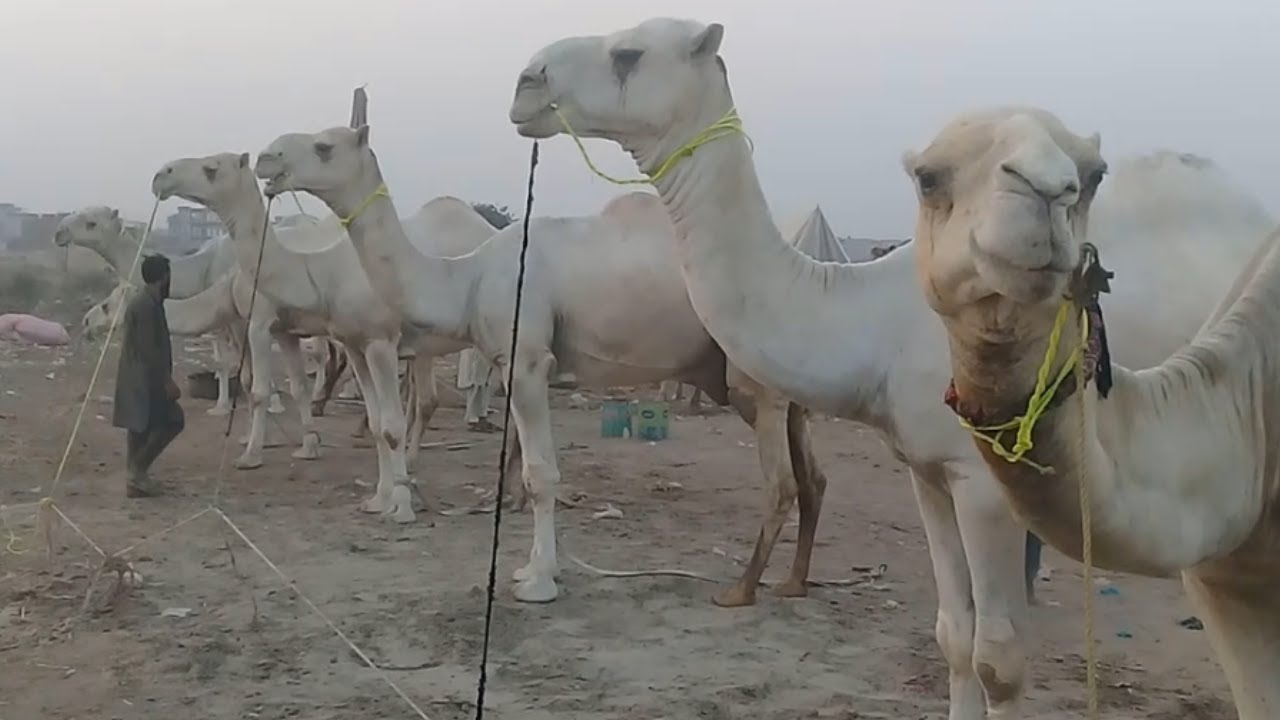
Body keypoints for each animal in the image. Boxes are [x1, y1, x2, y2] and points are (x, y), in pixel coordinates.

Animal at [254, 124, 842, 606]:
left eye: (324, 146)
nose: (265, 157)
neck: (467, 278)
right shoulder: (507, 359)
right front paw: (534, 569)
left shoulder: (530, 358)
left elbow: (541, 473)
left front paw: (537, 580)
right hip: (779, 382)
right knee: (813, 477)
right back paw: (793, 582)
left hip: (752, 381)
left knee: (781, 482)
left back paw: (741, 589)